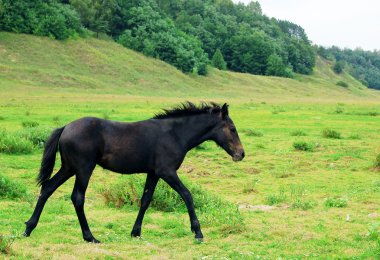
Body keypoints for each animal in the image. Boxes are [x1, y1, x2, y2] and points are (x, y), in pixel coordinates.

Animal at [23, 101, 245, 242]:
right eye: (232, 129)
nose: (241, 154)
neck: (174, 134)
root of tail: (66, 127)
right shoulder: (167, 172)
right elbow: (187, 195)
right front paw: (198, 232)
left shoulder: (153, 173)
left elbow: (146, 200)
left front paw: (136, 232)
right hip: (84, 168)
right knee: (77, 197)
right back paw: (90, 237)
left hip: (69, 167)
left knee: (47, 188)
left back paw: (28, 228)